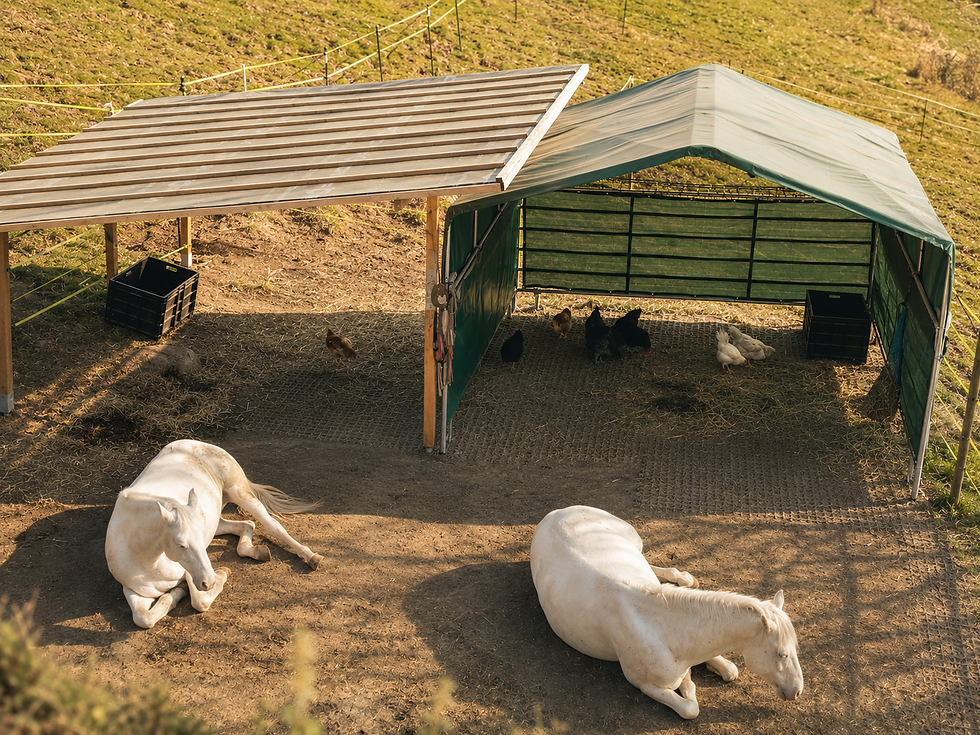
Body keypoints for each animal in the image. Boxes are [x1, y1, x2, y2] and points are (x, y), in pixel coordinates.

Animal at [105, 439, 323, 629]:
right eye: (180, 544)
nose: (209, 581)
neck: (148, 561)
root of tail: (199, 443)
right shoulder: (134, 591)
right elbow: (143, 618)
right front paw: (177, 593)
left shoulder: (191, 572)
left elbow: (199, 602)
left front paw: (216, 576)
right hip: (216, 520)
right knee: (247, 525)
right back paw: (257, 552)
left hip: (239, 493)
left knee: (272, 526)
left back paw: (311, 557)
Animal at [529, 505, 803, 719]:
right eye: (782, 653)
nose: (797, 691)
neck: (661, 628)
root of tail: (556, 513)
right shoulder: (645, 685)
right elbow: (689, 709)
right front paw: (689, 686)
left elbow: (730, 670)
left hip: (633, 543)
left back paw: (684, 578)